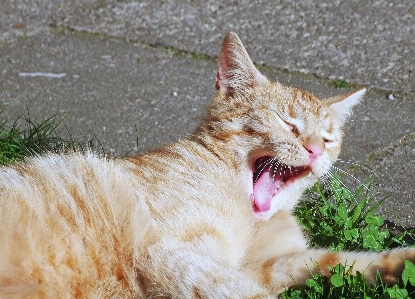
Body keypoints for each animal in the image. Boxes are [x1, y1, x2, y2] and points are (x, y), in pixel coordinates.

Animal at [0, 31, 415, 299]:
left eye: (328, 139)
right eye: (288, 124)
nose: (314, 150)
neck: (254, 218)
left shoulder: (272, 266)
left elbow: (338, 260)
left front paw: (400, 264)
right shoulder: (171, 255)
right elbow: (245, 294)